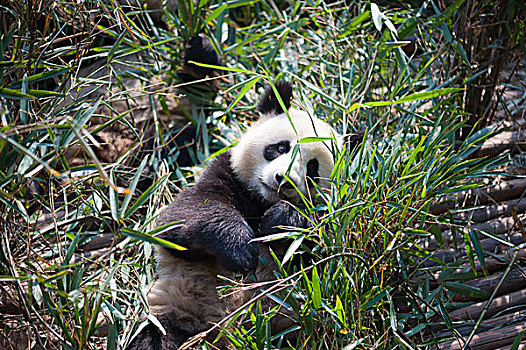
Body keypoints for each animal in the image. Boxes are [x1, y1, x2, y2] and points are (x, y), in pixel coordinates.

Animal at [128, 82, 364, 350]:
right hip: (178, 303)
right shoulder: (226, 174)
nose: (284, 180)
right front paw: (241, 252)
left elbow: (325, 249)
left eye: (312, 167)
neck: (261, 200)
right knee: (155, 334)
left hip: (289, 329)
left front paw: (279, 222)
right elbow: (182, 218)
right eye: (281, 147)